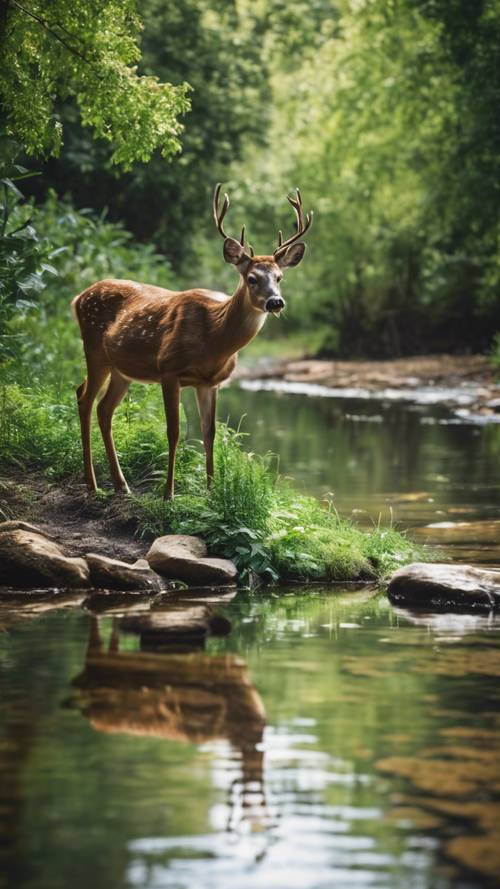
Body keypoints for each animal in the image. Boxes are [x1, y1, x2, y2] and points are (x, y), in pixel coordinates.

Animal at [71, 185, 312, 500]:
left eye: (280, 277)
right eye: (252, 278)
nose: (275, 302)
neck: (214, 340)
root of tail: (78, 297)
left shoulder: (210, 382)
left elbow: (209, 432)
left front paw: (211, 490)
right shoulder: (168, 370)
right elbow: (174, 431)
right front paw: (168, 493)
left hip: (122, 370)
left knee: (103, 408)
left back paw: (121, 485)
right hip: (94, 350)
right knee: (84, 398)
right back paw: (92, 485)